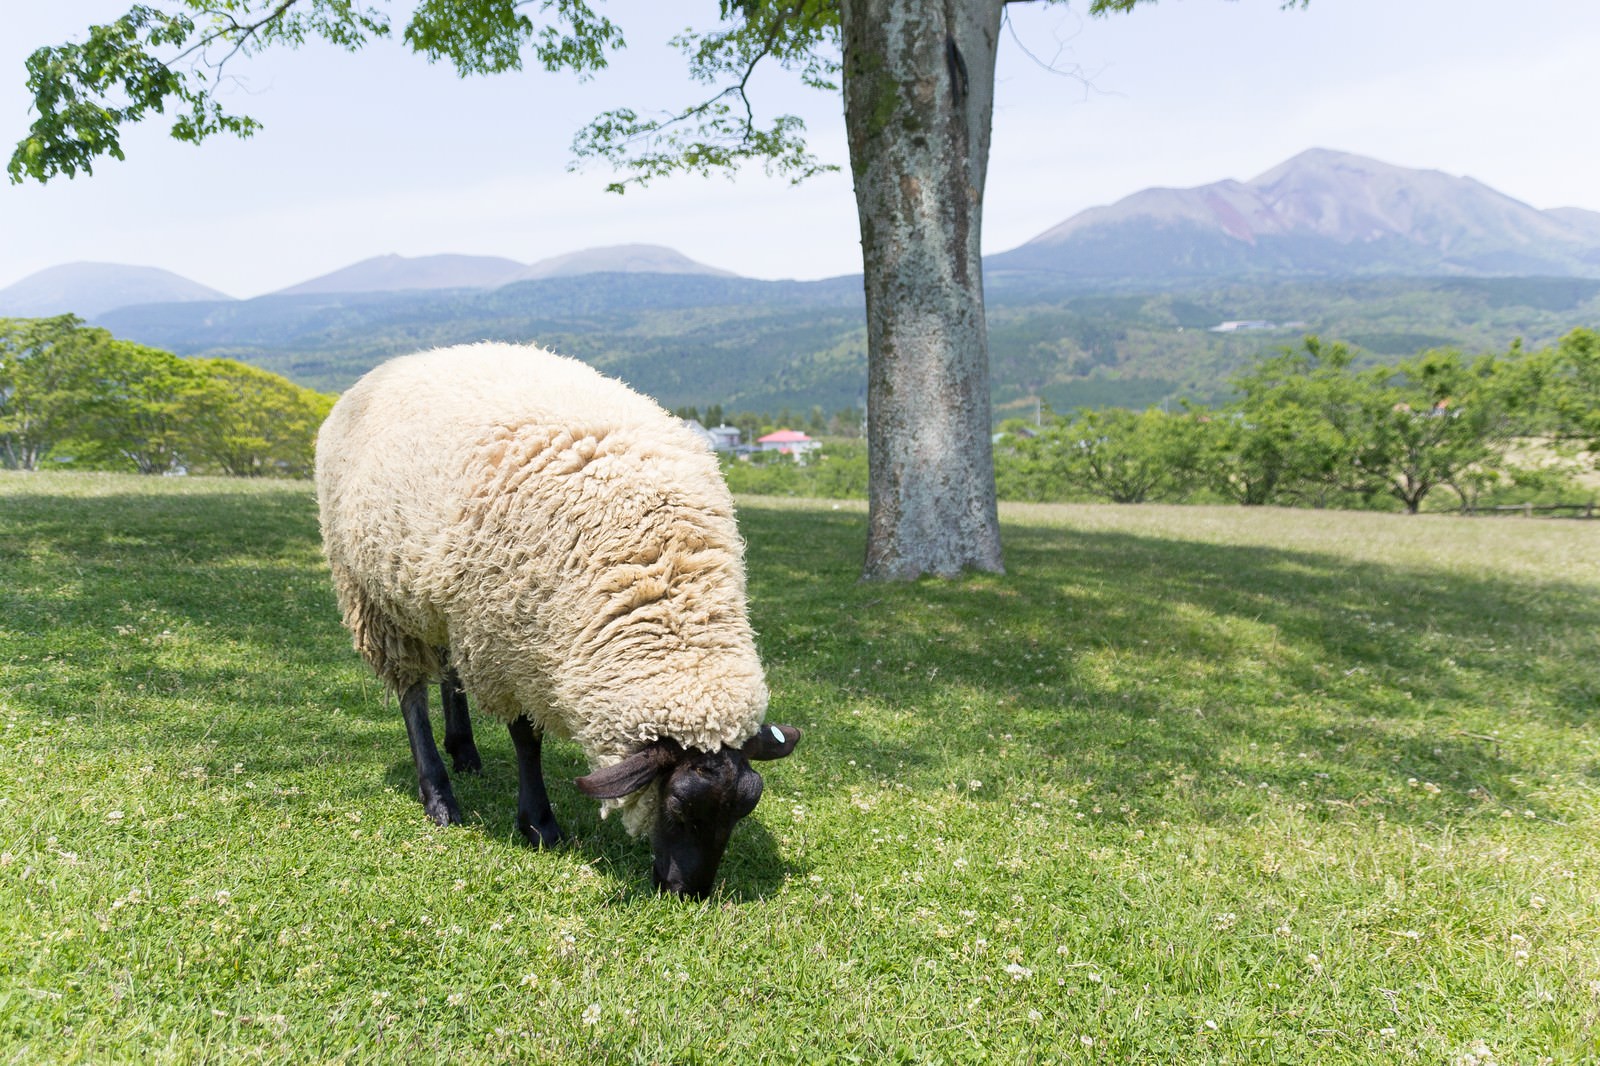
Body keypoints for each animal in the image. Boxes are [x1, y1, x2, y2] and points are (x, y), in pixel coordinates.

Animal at [315, 342, 800, 896]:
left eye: (744, 809)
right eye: (677, 805)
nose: (688, 892)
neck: (657, 573)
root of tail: (398, 363)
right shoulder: (507, 644)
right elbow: (527, 739)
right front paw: (539, 824)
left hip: (445, 598)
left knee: (449, 668)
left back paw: (464, 752)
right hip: (375, 595)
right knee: (410, 691)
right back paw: (438, 795)